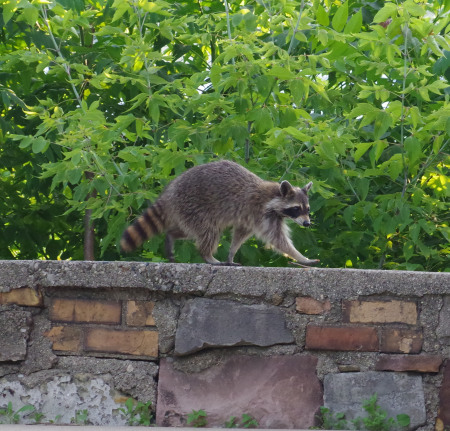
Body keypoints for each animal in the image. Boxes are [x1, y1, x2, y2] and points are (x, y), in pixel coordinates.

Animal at [119, 160, 320, 264]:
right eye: (297, 208)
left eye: (308, 209)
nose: (307, 223)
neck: (274, 196)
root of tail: (170, 192)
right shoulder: (260, 213)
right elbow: (278, 240)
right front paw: (300, 257)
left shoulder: (250, 219)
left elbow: (240, 234)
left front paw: (231, 253)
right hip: (194, 206)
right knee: (209, 231)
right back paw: (207, 256)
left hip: (187, 213)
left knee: (189, 231)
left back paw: (172, 235)